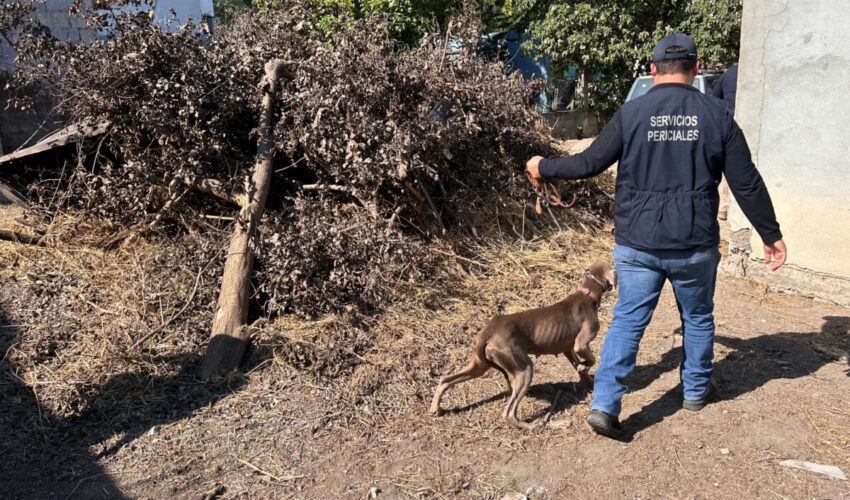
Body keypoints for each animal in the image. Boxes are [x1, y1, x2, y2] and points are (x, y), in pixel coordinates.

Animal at [428, 262, 612, 430]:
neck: (587, 293)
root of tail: (487, 333)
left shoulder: (567, 348)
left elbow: (579, 366)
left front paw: (588, 380)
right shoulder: (581, 344)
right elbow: (591, 359)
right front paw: (585, 368)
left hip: (479, 365)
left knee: (445, 379)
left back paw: (435, 408)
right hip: (524, 368)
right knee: (509, 413)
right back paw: (531, 426)